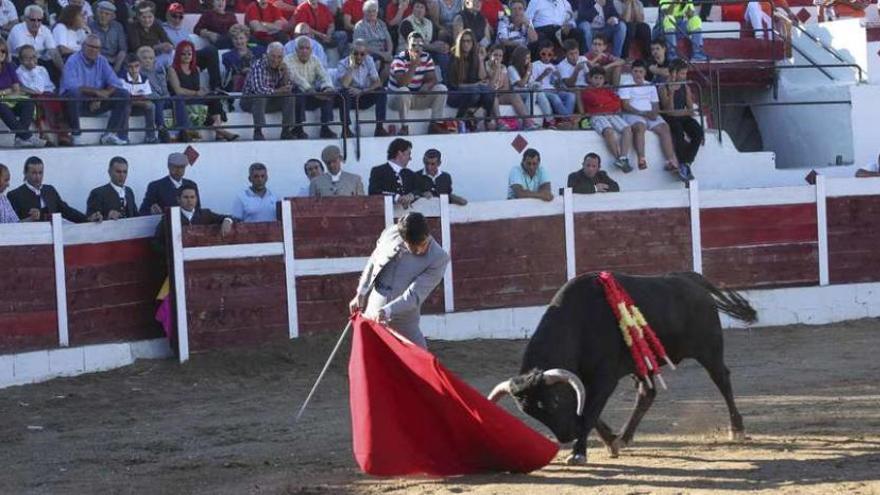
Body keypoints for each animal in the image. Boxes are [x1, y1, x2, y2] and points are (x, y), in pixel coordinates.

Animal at [488, 272, 756, 464]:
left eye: (553, 401)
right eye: (529, 412)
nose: (566, 436)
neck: (578, 323)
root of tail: (691, 279)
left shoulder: (604, 378)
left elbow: (588, 412)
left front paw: (578, 453)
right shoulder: (583, 379)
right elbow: (586, 410)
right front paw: (610, 441)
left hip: (709, 350)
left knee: (722, 379)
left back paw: (737, 429)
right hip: (643, 364)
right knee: (647, 394)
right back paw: (624, 438)